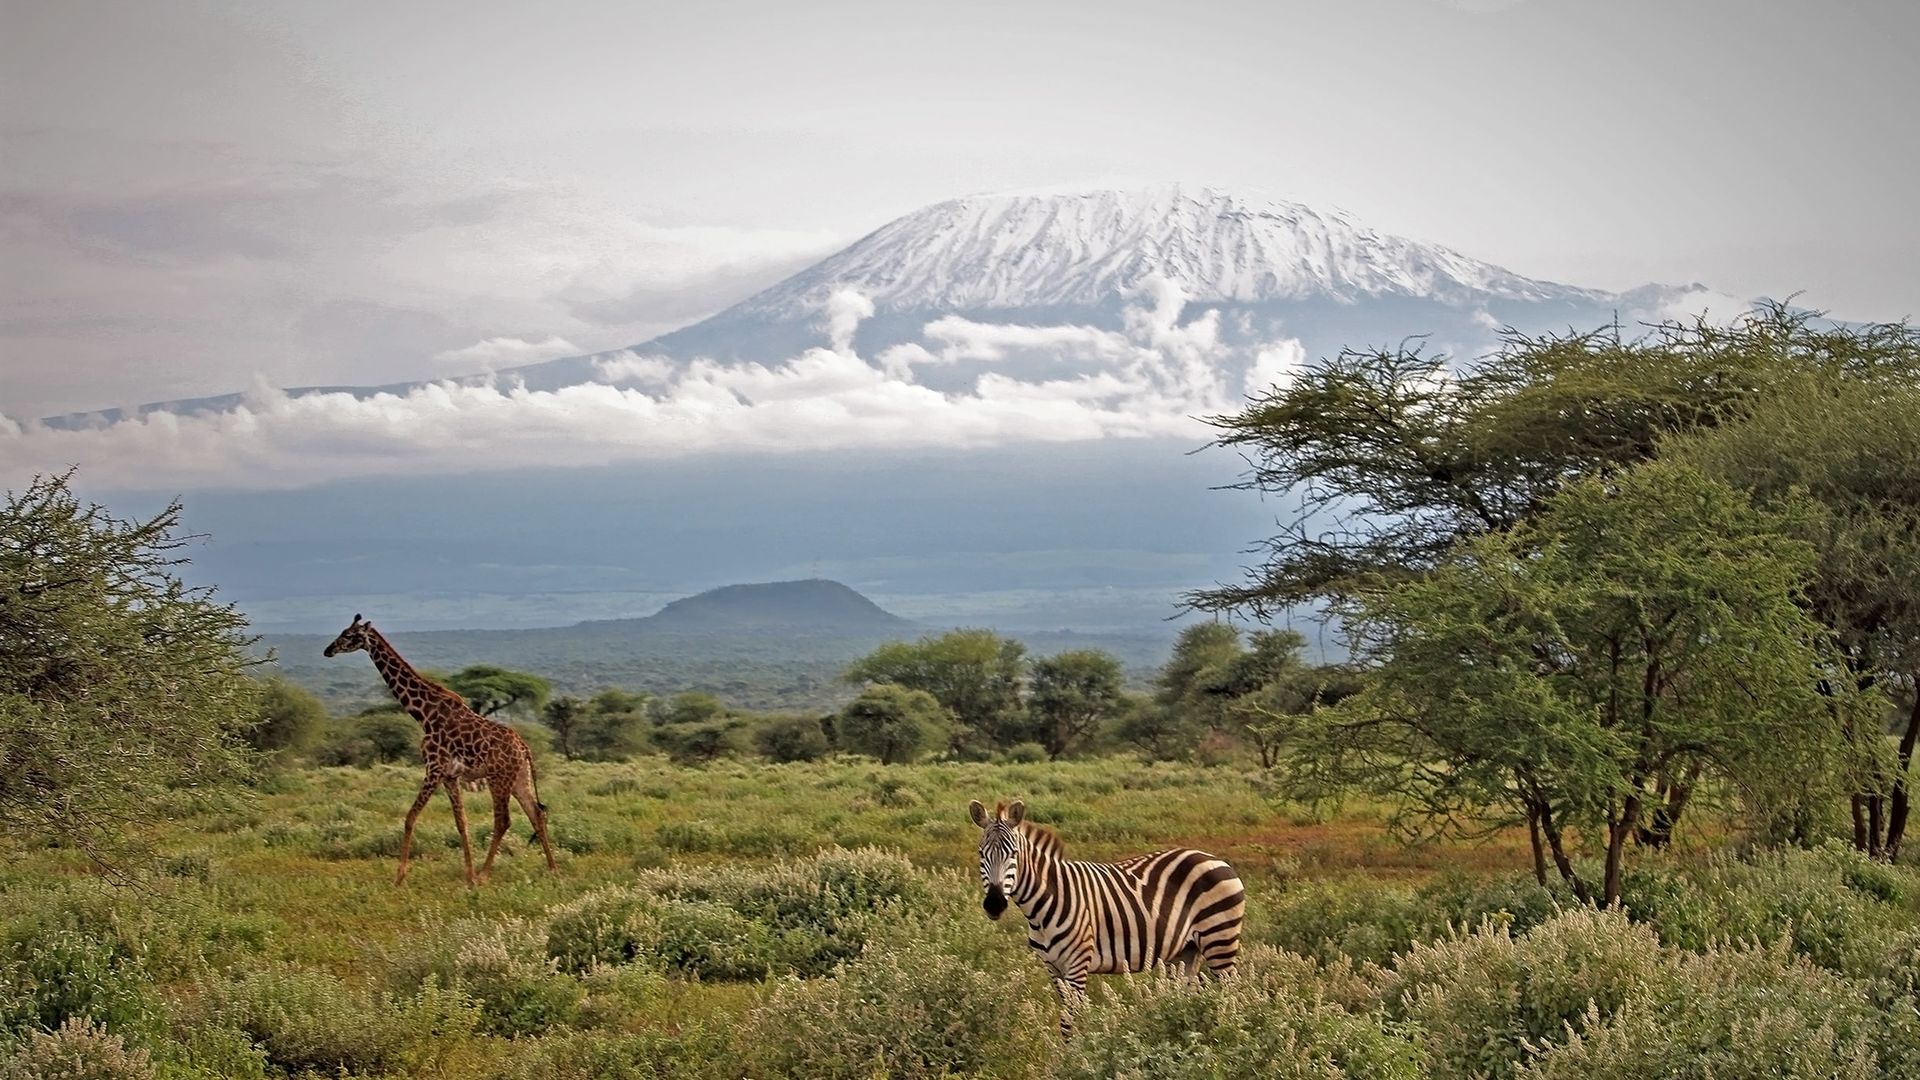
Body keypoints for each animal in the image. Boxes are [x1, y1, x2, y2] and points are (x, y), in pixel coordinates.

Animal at [322, 614, 556, 883]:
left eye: (349, 635)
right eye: (343, 631)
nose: (328, 650)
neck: (424, 714)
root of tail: (524, 748)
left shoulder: (433, 768)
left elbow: (410, 817)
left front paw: (399, 877)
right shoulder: (450, 776)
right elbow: (461, 822)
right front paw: (468, 875)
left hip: (498, 778)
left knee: (503, 820)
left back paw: (486, 874)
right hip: (519, 777)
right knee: (535, 813)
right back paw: (553, 870)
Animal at [975, 795, 1244, 1030]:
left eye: (1014, 854)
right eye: (981, 854)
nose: (995, 904)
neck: (1047, 900)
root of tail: (1216, 859)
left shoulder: (1077, 963)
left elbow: (1070, 1021)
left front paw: (1078, 1053)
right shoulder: (1053, 968)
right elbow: (1068, 1016)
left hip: (1219, 939)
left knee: (1231, 990)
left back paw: (1232, 1033)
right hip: (1187, 950)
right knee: (1192, 993)